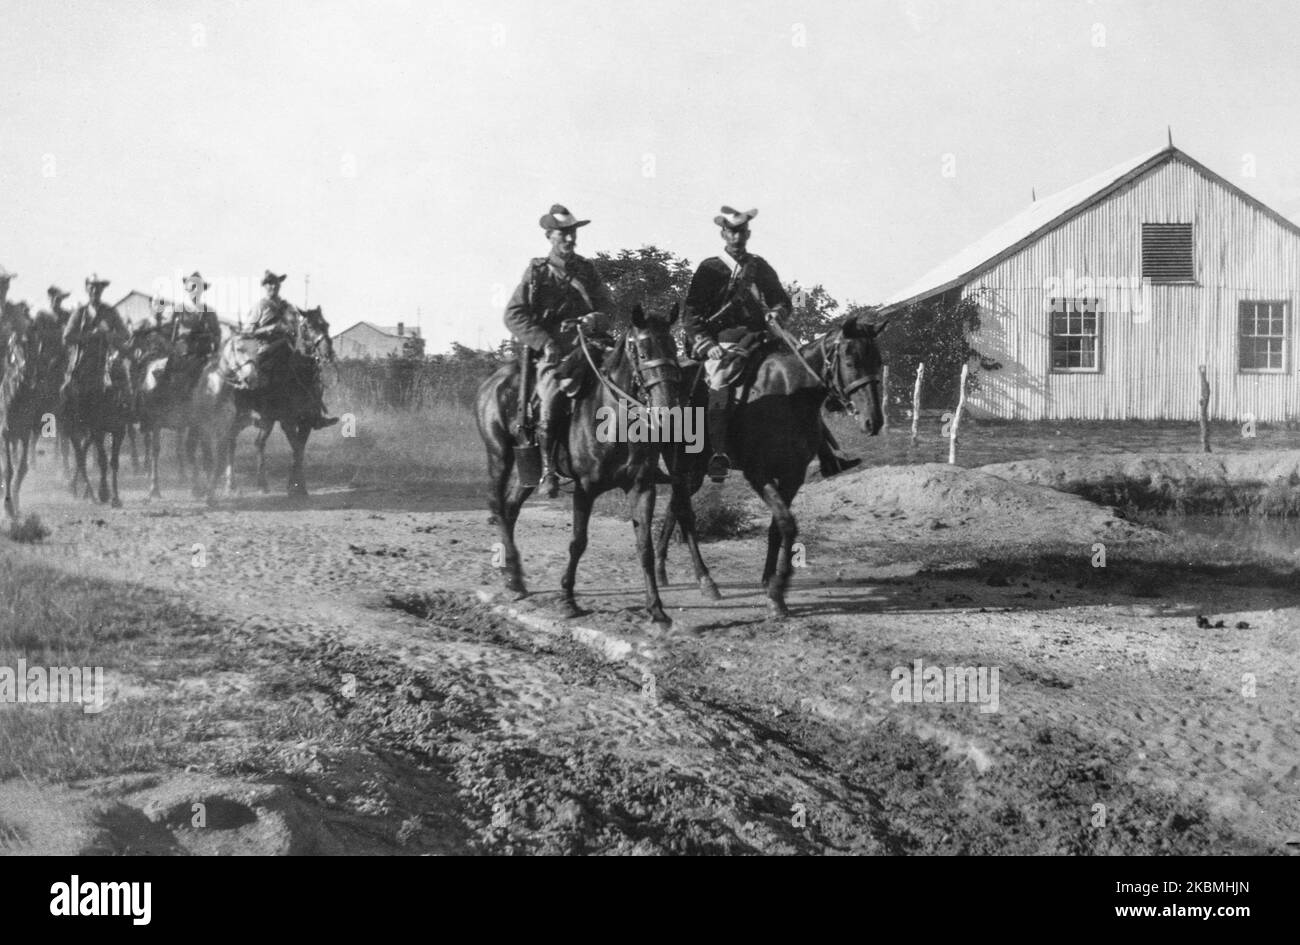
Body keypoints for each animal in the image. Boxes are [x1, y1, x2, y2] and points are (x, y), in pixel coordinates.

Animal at [478, 306, 702, 623]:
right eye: (642, 351)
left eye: (673, 348)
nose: (668, 410)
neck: (615, 421)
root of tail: (492, 381)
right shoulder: (585, 489)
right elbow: (578, 542)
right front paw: (567, 599)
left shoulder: (642, 487)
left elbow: (644, 545)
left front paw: (656, 609)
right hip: (499, 455)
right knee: (498, 506)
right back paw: (512, 575)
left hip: (527, 469)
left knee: (510, 509)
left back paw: (515, 578)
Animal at [655, 311, 889, 621]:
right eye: (851, 362)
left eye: (879, 361)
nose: (873, 422)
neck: (790, 394)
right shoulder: (758, 474)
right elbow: (787, 523)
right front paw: (777, 593)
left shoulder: (792, 476)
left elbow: (777, 527)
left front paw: (769, 581)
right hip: (683, 466)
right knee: (685, 515)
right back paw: (705, 580)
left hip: (693, 473)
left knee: (675, 506)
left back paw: (661, 568)